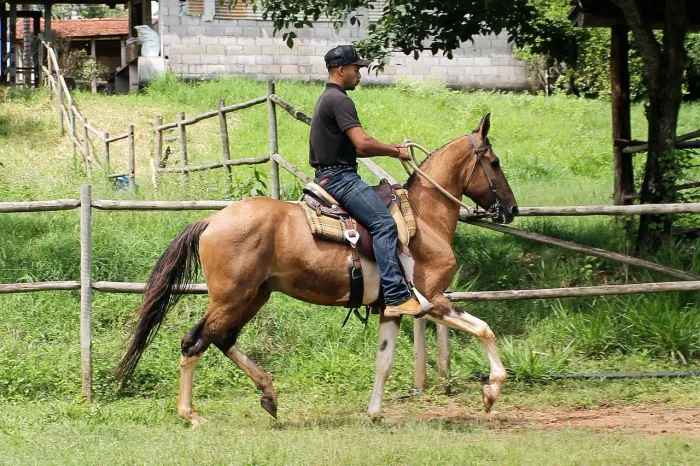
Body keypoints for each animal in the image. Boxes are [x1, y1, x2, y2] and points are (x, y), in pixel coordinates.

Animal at [117, 114, 518, 425]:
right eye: (496, 162)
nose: (512, 209)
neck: (424, 217)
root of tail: (212, 220)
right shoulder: (432, 300)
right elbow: (485, 330)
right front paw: (491, 392)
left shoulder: (392, 309)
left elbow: (384, 362)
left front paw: (374, 413)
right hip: (231, 298)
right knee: (195, 341)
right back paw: (190, 413)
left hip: (254, 296)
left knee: (223, 339)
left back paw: (268, 395)